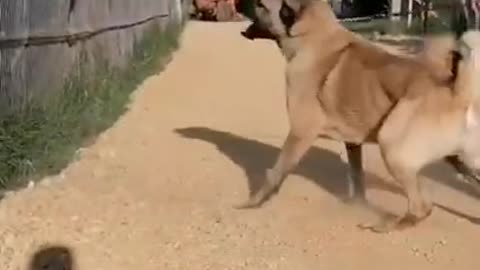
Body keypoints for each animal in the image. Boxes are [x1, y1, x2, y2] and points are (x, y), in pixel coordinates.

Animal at [234, 0, 480, 232]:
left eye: (260, 4)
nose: (235, 3)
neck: (313, 35)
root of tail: (458, 92)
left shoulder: (300, 132)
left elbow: (275, 173)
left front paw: (253, 202)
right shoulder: (352, 143)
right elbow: (357, 179)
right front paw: (356, 205)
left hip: (392, 148)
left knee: (421, 207)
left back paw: (385, 226)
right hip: (462, 162)